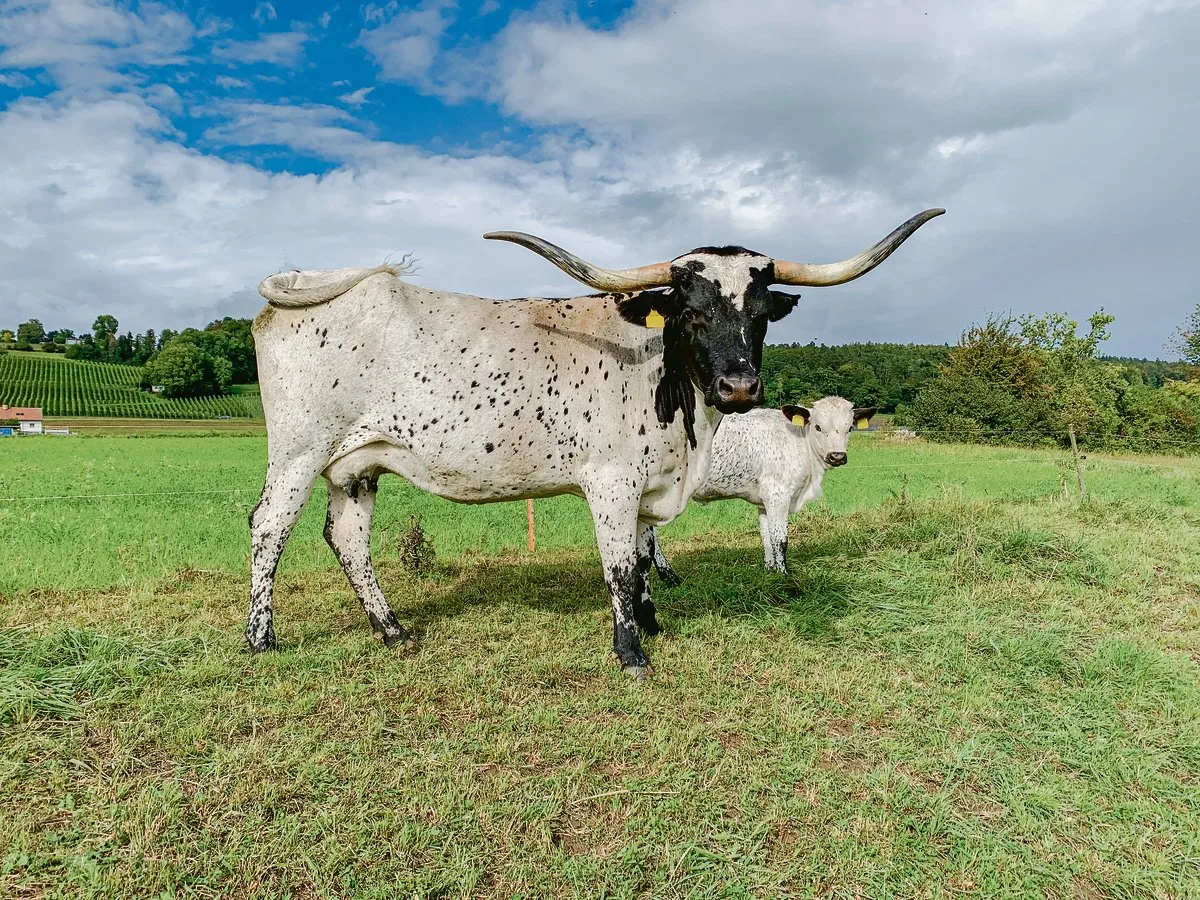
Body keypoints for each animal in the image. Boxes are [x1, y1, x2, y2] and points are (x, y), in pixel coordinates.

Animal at [648, 396, 872, 580]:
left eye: (849, 428)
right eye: (818, 427)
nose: (837, 456)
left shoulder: (764, 501)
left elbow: (766, 537)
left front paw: (770, 570)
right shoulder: (778, 495)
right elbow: (780, 539)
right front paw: (783, 575)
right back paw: (669, 576)